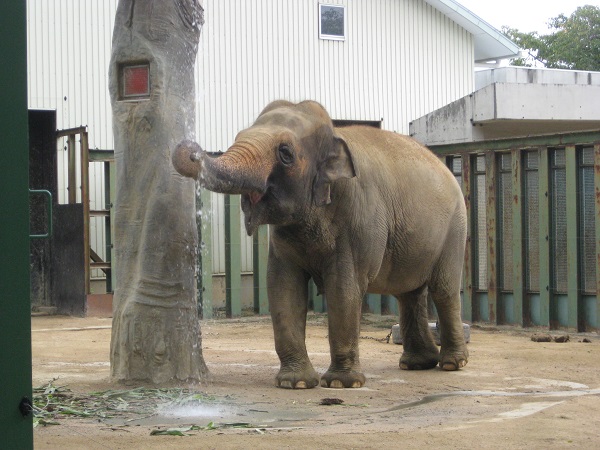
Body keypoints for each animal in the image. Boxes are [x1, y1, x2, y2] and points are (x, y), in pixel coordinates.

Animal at [173, 100, 468, 388]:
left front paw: (341, 383)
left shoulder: (358, 218)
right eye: (237, 137)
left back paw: (452, 364)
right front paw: (295, 383)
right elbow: (283, 286)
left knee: (443, 290)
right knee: (409, 293)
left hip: (455, 228)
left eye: (285, 153)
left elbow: (344, 287)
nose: (193, 151)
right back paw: (417, 364)